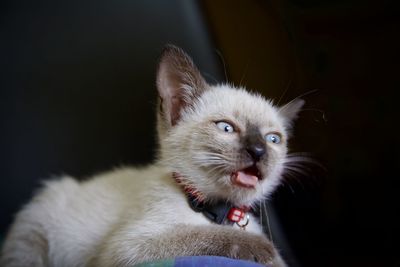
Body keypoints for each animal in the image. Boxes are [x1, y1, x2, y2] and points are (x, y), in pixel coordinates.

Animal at [0, 46, 304, 267]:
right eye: (226, 128)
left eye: (273, 139)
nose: (258, 151)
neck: (219, 212)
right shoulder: (128, 249)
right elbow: (200, 236)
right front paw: (263, 250)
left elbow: (278, 261)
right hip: (35, 233)